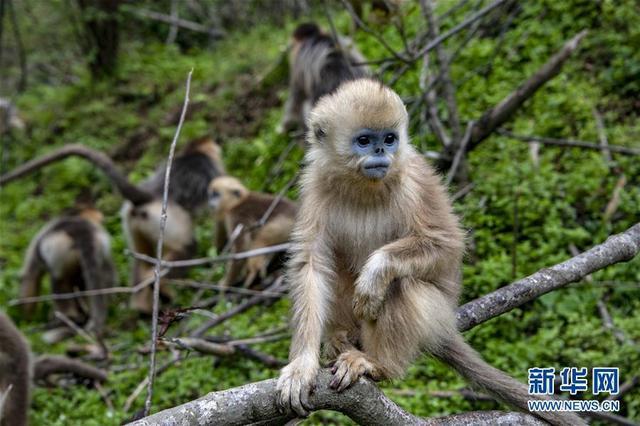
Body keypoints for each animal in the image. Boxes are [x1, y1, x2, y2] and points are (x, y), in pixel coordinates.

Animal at [19, 206, 115, 340]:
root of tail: (83, 234)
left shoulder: (37, 246)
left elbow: (30, 278)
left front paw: (26, 318)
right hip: (99, 247)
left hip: (60, 253)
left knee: (59, 281)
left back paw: (68, 318)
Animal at [276, 78, 584, 424]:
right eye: (365, 140)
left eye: (390, 139)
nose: (381, 151)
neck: (365, 187)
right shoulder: (314, 186)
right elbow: (311, 264)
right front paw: (302, 366)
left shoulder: (415, 180)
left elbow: (446, 244)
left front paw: (375, 272)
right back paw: (340, 337)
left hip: (433, 310)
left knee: (400, 283)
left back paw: (379, 364)